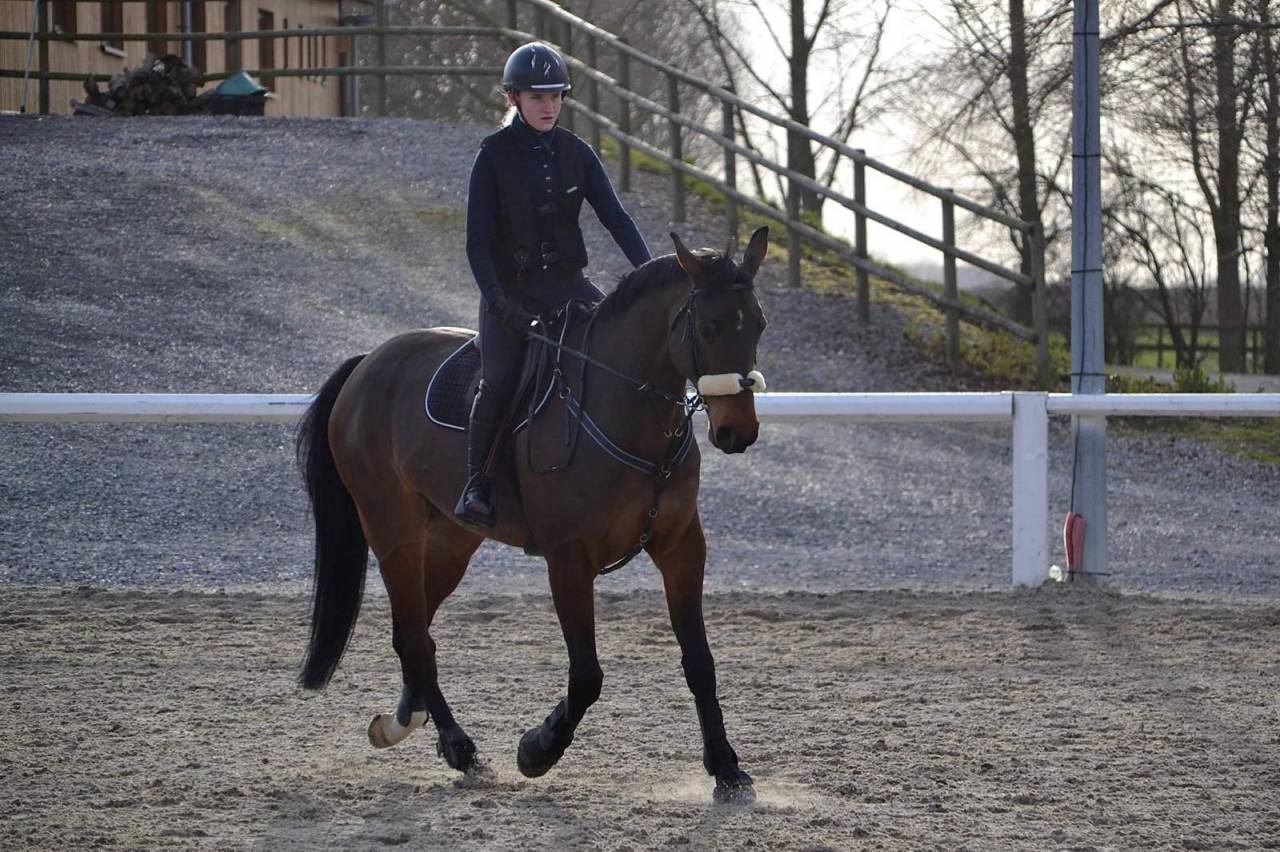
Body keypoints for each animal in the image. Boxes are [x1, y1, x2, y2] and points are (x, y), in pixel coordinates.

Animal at [295, 227, 770, 802]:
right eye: (708, 327)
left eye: (759, 324)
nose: (737, 432)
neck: (629, 414)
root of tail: (367, 364)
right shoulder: (568, 560)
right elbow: (587, 675)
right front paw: (537, 749)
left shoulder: (681, 547)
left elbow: (700, 662)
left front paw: (726, 769)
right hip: (394, 534)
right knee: (414, 637)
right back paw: (459, 747)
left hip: (451, 541)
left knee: (414, 631)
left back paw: (402, 722)